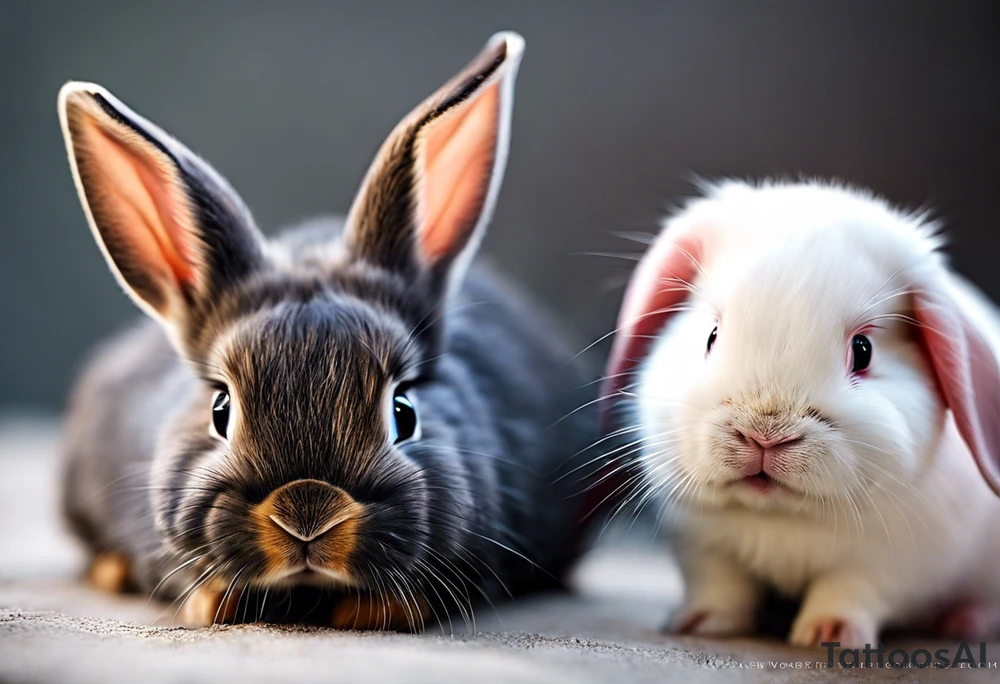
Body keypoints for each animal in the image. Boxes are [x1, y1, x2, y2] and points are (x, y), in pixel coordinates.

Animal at [601, 179, 1000, 649]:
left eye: (863, 350)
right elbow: (721, 585)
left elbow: (847, 592)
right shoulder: (704, 545)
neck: (781, 516)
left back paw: (968, 622)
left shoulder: (886, 564)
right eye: (711, 335)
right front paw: (699, 623)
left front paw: (829, 636)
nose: (764, 434)